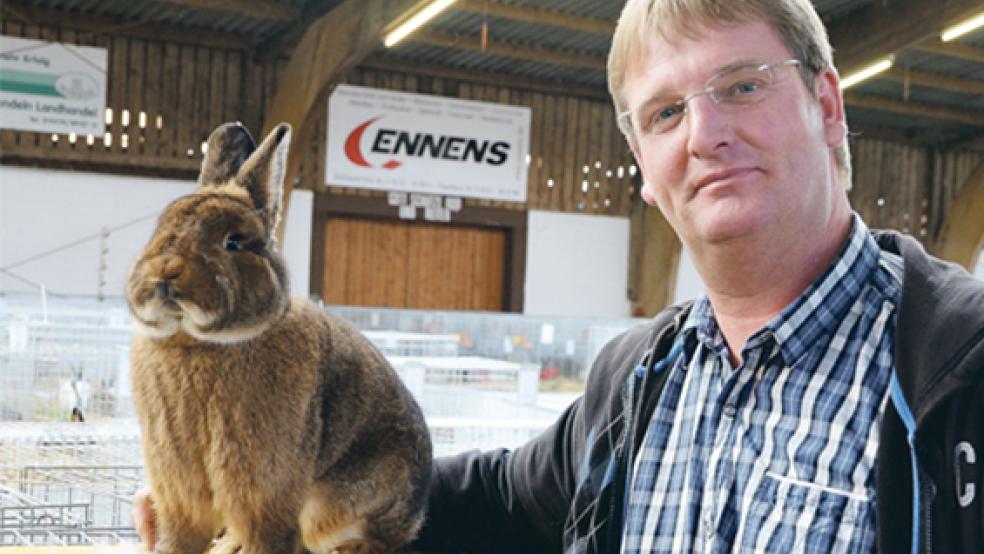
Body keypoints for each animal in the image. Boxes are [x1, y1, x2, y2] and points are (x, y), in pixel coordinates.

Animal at [126, 122, 430, 552]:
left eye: (234, 242)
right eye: (160, 229)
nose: (166, 274)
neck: (197, 342)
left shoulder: (264, 489)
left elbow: (266, 535)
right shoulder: (179, 487)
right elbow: (180, 535)